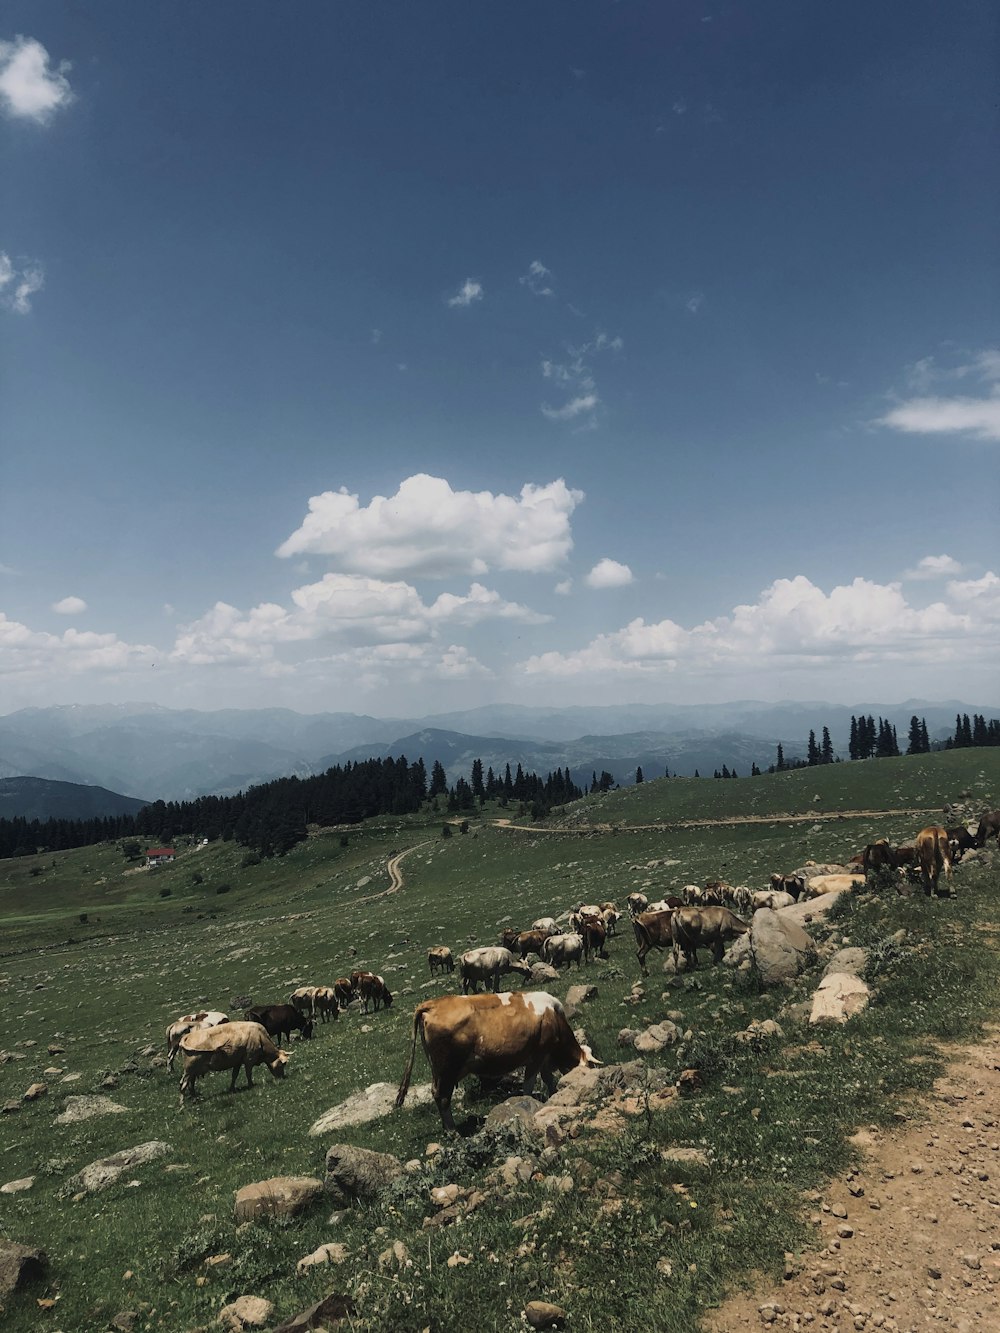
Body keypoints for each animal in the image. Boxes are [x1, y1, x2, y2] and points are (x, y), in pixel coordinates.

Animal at [394, 991, 600, 1135]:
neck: (553, 1016)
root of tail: (432, 1004)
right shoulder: (537, 1054)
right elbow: (529, 1084)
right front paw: (527, 1102)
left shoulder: (545, 1057)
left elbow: (548, 1078)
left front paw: (553, 1094)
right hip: (447, 1069)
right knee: (442, 1096)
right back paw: (453, 1132)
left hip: (438, 1069)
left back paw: (447, 1129)